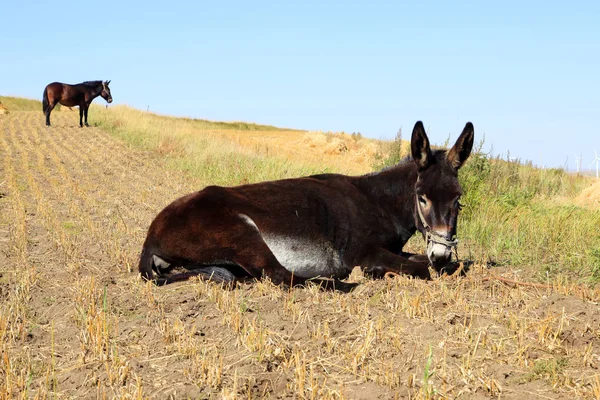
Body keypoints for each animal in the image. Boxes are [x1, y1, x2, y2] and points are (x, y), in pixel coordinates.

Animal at [137, 120, 474, 290]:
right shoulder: (361, 252)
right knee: (280, 276)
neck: (378, 202)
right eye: (422, 197)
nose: (441, 253)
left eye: (458, 200)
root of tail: (152, 233)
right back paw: (339, 282)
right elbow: (420, 266)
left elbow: (422, 260)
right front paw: (381, 271)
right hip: (242, 231)